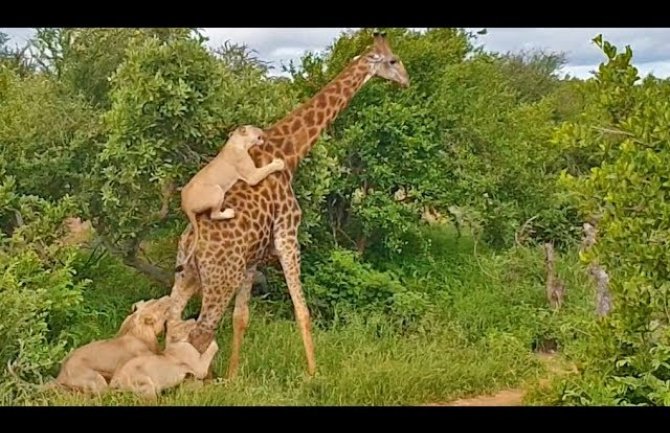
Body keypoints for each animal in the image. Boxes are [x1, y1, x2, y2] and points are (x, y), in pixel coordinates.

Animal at [171, 30, 412, 376]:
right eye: (393, 61)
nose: (407, 81)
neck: (289, 150)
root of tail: (193, 238)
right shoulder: (288, 236)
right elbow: (302, 310)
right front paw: (314, 375)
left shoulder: (253, 259)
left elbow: (241, 318)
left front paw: (232, 377)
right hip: (220, 280)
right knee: (199, 332)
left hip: (187, 275)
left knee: (172, 321)